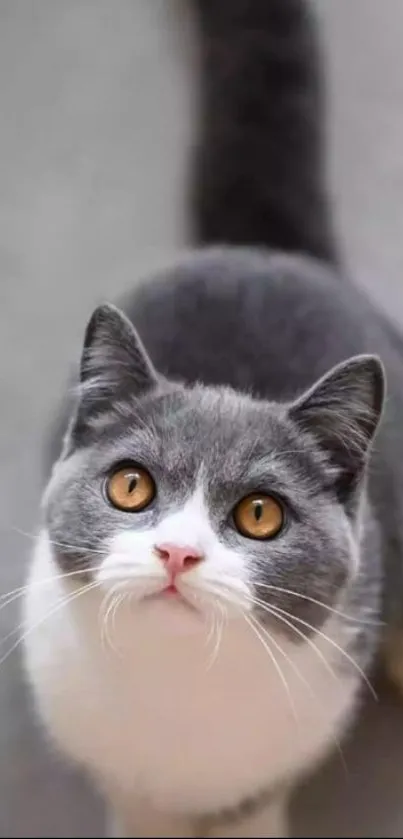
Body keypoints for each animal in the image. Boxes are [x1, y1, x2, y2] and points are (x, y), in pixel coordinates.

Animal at [23, 1, 403, 839]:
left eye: (260, 513)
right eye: (130, 486)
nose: (177, 552)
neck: (177, 691)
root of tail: (261, 246)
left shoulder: (281, 750)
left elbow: (251, 806)